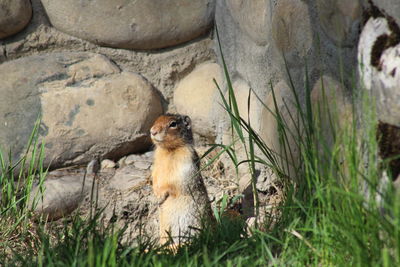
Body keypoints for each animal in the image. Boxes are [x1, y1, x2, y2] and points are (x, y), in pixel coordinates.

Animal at [150, 114, 212, 246]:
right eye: (156, 119)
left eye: (173, 124)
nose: (152, 131)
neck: (169, 150)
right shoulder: (156, 164)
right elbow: (155, 176)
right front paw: (156, 194)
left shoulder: (186, 161)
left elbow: (174, 182)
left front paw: (162, 195)